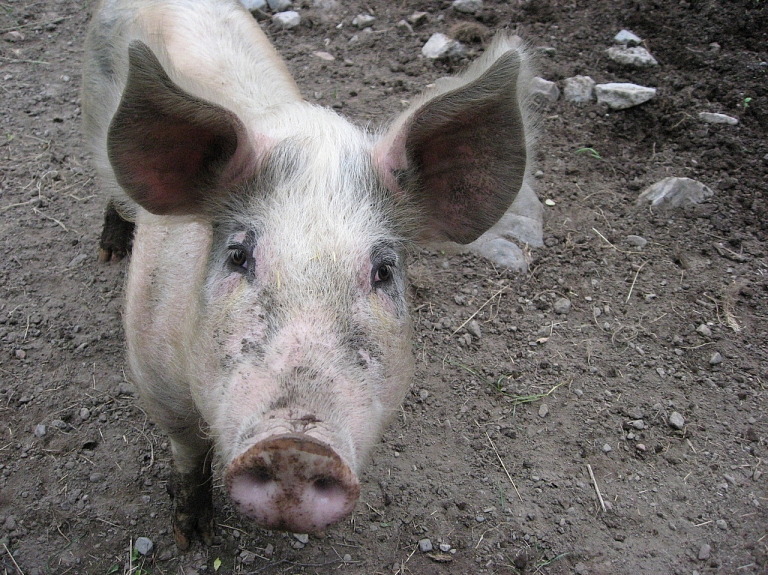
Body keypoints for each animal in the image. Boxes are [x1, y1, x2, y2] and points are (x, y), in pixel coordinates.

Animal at [81, 0, 532, 552]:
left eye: (384, 271)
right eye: (238, 256)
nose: (296, 447)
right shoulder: (153, 374)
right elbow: (187, 449)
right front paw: (191, 538)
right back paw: (110, 251)